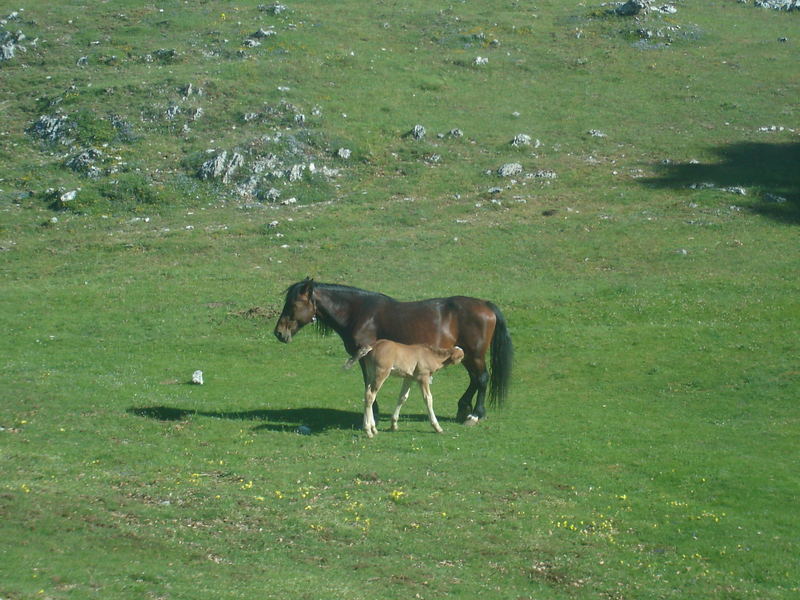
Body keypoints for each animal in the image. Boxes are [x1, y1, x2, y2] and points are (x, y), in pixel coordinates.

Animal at [276, 278, 512, 422]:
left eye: (293, 305)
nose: (278, 332)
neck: (359, 312)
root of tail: (485, 305)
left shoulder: (366, 357)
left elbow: (368, 383)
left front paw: (373, 413)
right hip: (466, 356)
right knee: (475, 379)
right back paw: (463, 408)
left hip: (475, 355)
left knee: (482, 378)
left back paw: (476, 414)